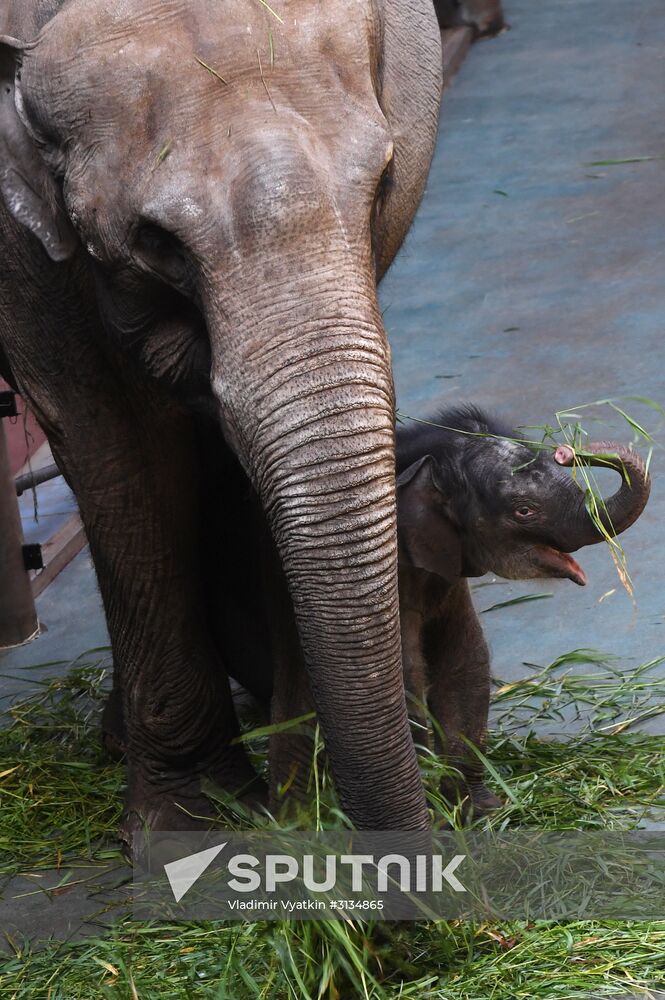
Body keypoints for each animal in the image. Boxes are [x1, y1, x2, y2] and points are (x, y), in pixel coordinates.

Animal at [396, 405, 650, 813]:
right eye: (524, 511)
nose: (565, 451)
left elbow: (465, 659)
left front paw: (481, 809)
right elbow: (406, 679)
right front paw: (438, 812)